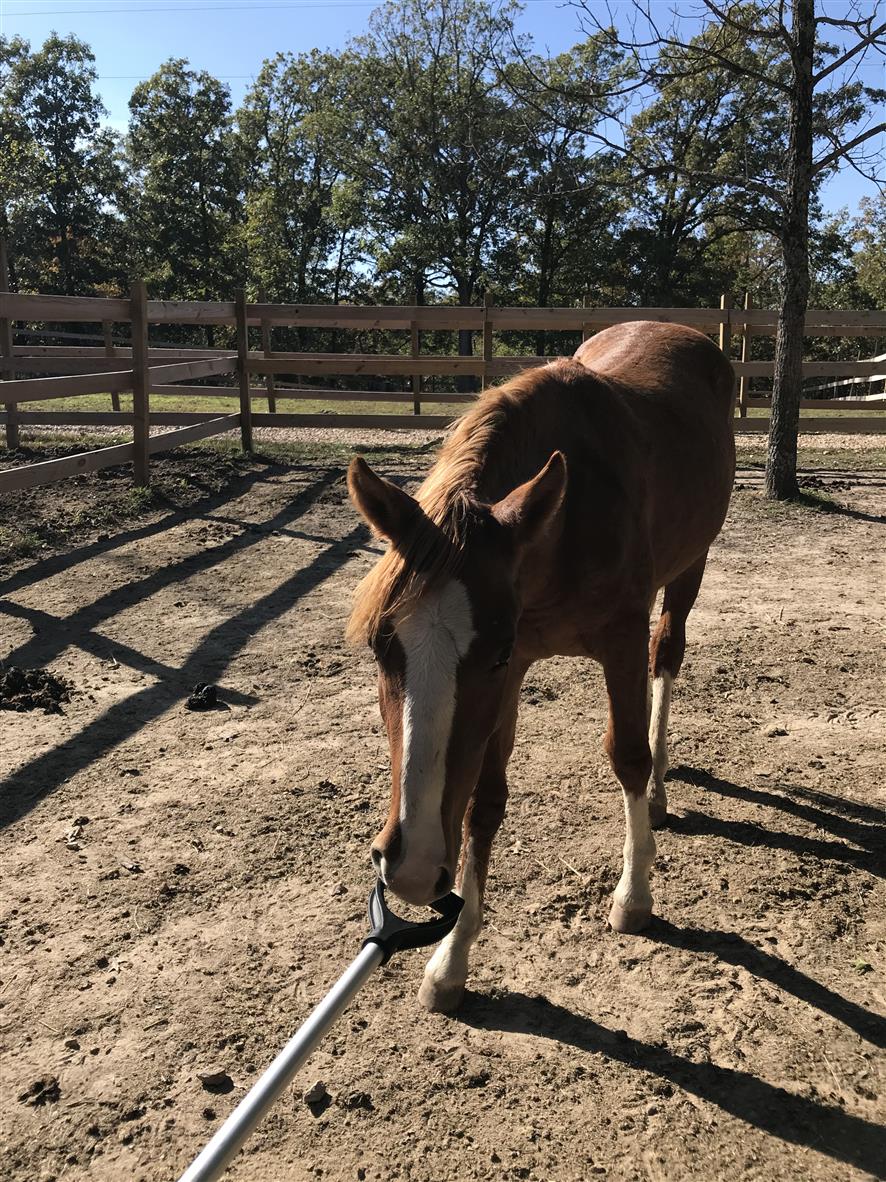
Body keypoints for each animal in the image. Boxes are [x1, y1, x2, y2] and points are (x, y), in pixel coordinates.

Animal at [346, 319, 735, 1012]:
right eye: (379, 645)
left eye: (494, 653)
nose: (412, 870)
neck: (568, 521)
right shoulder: (517, 670)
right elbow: (484, 803)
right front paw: (451, 961)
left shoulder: (611, 642)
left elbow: (628, 756)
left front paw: (634, 897)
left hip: (691, 567)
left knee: (668, 659)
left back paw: (659, 787)